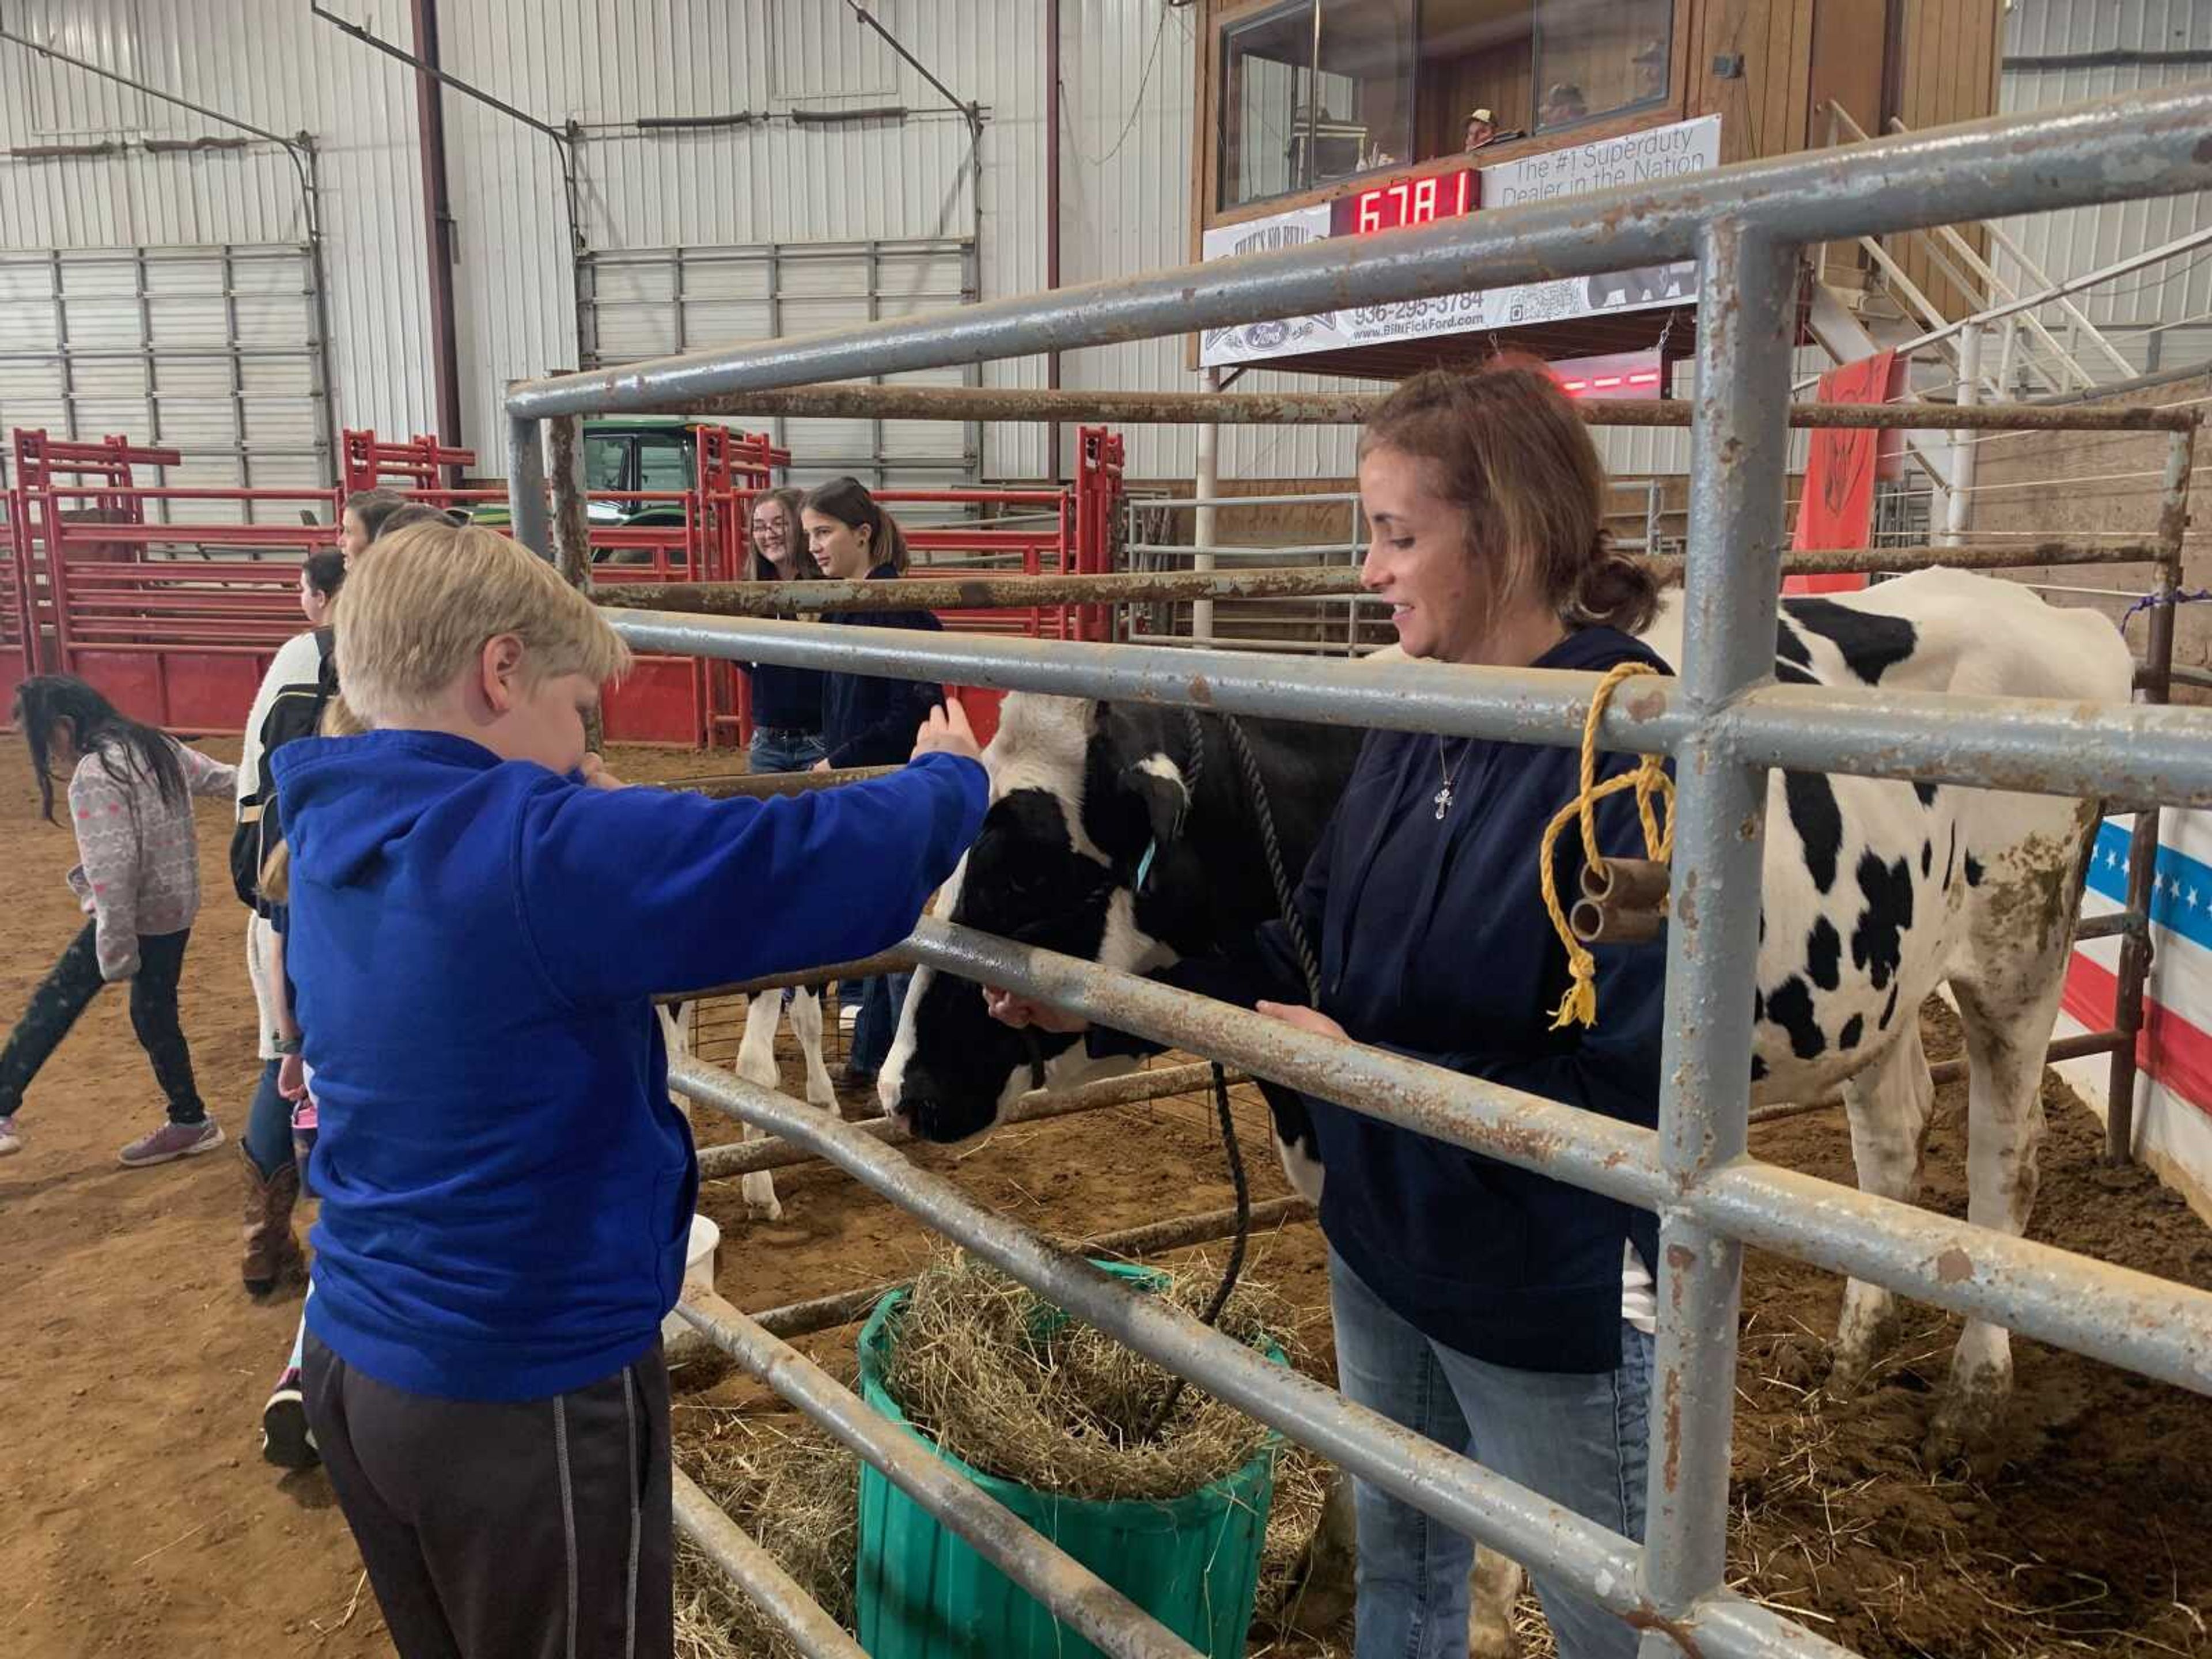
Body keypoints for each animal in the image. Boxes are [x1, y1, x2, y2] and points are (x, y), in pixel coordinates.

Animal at [876, 570, 2123, 1654]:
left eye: (1036, 873)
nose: (902, 1089)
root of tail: (2056, 618)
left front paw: (1479, 1603)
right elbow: (1383, 1415)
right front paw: (1333, 1572)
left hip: (2021, 955)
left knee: (2005, 1162)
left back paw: (1972, 1402)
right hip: (1880, 987)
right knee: (1894, 1134)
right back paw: (1856, 1361)